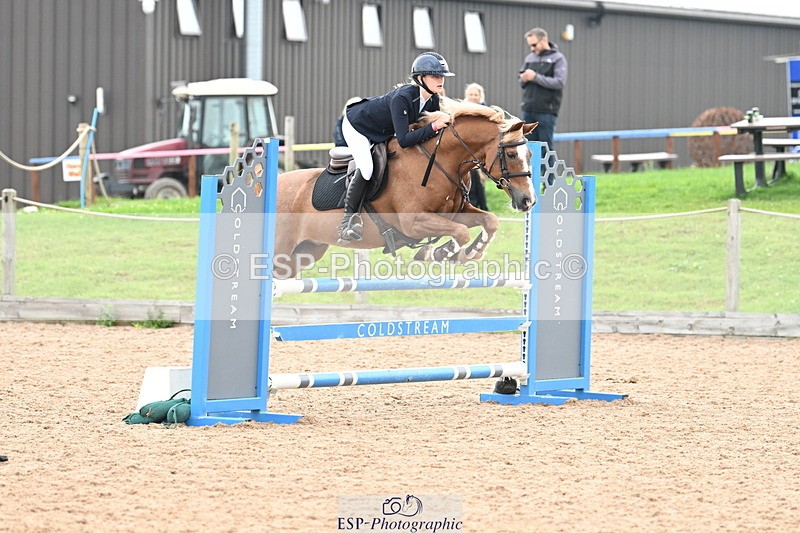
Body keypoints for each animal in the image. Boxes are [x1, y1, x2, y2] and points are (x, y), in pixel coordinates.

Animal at [273, 98, 538, 279]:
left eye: (530, 154)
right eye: (511, 154)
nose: (528, 201)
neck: (440, 161)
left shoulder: (453, 213)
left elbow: (490, 221)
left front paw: (470, 253)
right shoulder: (414, 222)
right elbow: (461, 232)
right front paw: (440, 253)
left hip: (304, 253)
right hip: (281, 250)